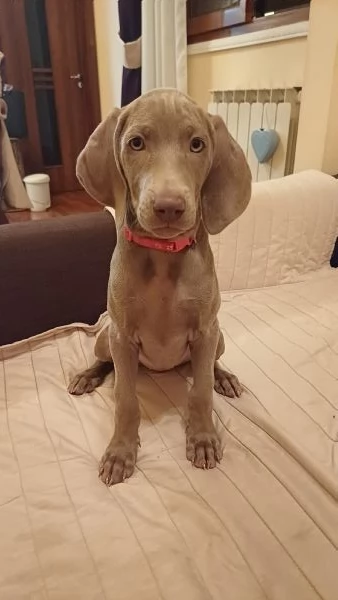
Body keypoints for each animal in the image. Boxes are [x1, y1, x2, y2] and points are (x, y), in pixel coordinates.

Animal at [68, 88, 251, 482]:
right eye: (136, 143)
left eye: (197, 145)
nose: (169, 207)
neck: (165, 257)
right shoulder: (122, 335)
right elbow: (125, 398)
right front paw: (120, 452)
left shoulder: (206, 330)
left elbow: (201, 392)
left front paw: (203, 438)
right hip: (106, 336)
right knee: (107, 363)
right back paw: (88, 376)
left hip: (218, 337)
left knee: (208, 367)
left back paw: (224, 377)